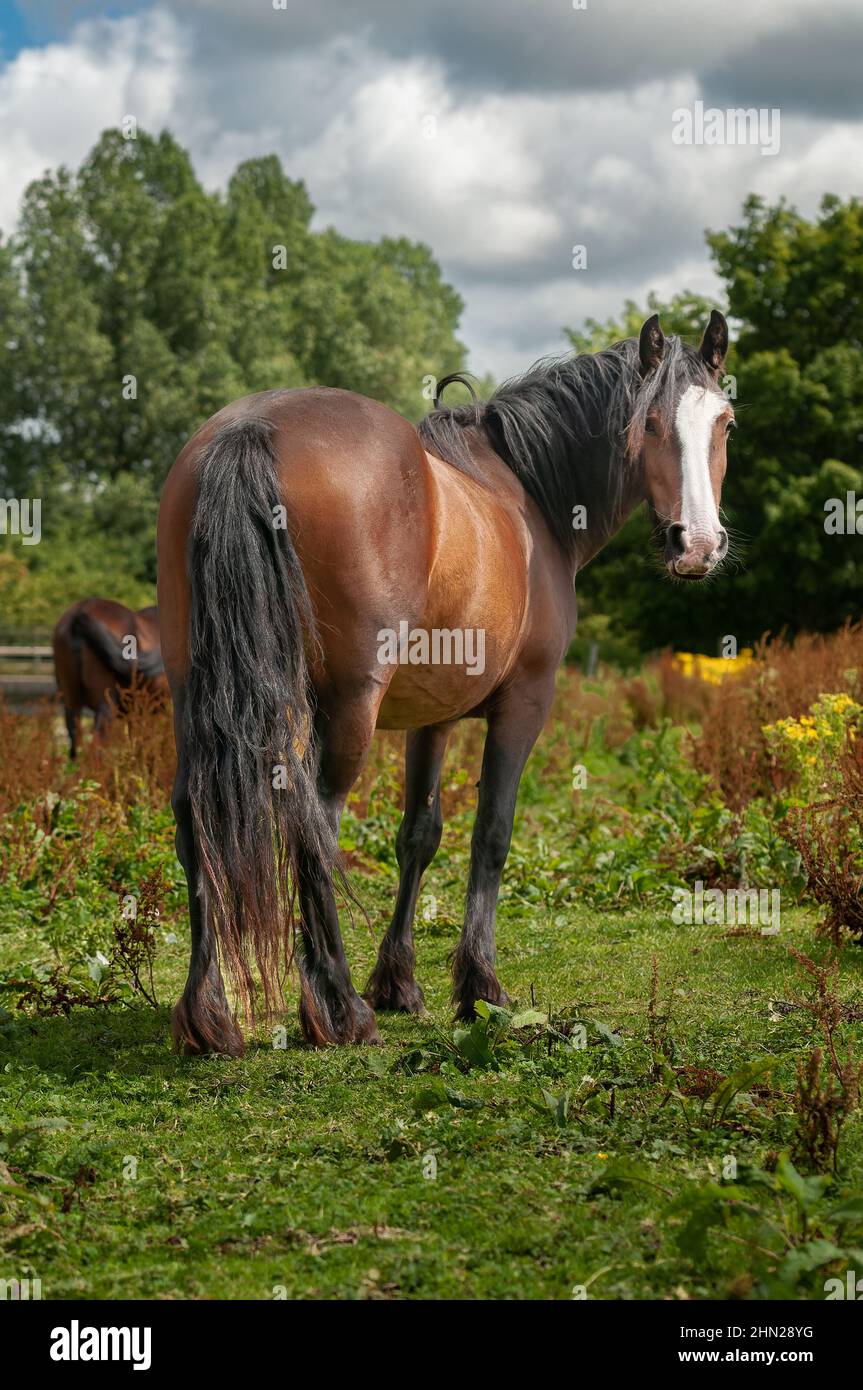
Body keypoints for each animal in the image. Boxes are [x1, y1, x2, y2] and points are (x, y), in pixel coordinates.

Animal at [156, 310, 734, 1056]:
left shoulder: (430, 717)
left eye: (724, 423)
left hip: (194, 695)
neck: (527, 496)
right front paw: (479, 986)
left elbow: (419, 835)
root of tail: (251, 429)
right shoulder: (524, 703)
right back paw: (337, 1009)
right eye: (650, 423)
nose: (698, 544)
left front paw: (398, 981)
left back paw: (209, 1016)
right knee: (316, 821)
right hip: (344, 708)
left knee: (194, 814)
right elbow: (491, 833)